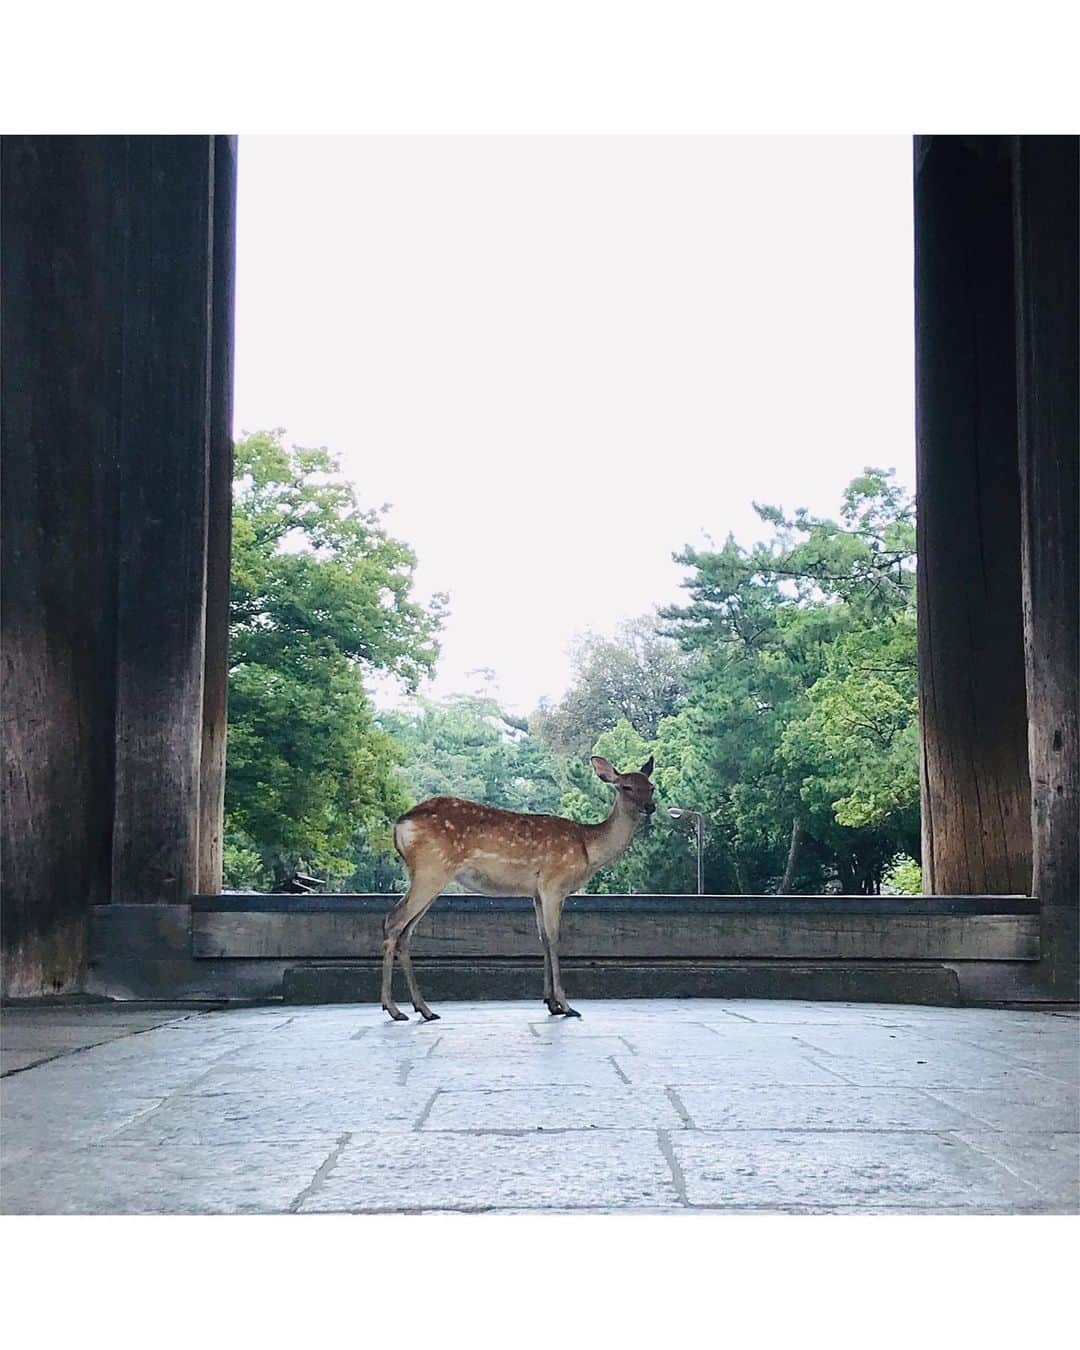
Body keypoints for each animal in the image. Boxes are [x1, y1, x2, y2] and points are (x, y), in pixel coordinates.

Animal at [380, 756, 658, 1015]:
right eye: (626, 786)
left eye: (651, 786)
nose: (650, 807)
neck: (588, 849)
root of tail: (400, 824)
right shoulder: (554, 883)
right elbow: (555, 938)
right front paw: (566, 1005)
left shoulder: (536, 893)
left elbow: (542, 938)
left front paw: (551, 1003)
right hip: (432, 869)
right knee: (394, 920)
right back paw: (392, 1008)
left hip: (430, 877)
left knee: (406, 931)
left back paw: (423, 1009)